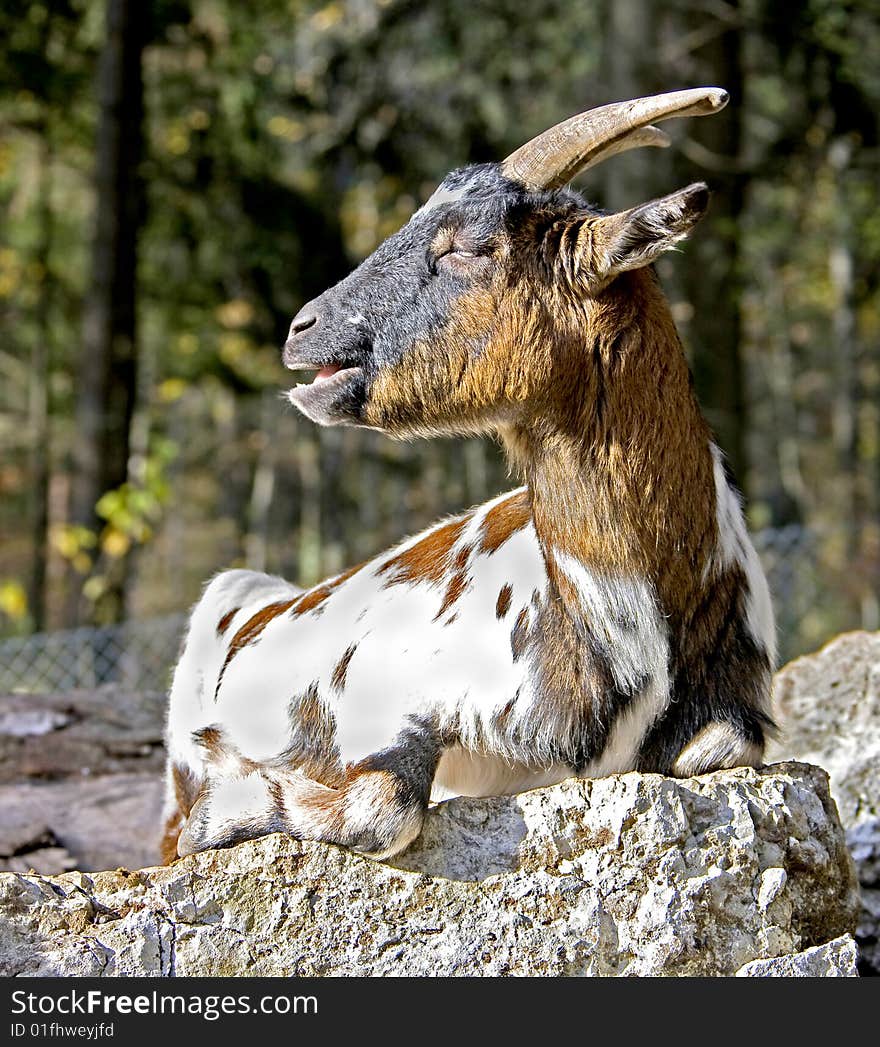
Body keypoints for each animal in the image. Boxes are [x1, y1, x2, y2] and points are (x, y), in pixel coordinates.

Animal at [161, 85, 775, 862]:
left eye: (465, 247)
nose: (301, 329)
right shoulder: (384, 696)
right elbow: (384, 807)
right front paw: (231, 807)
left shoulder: (739, 709)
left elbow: (723, 745)